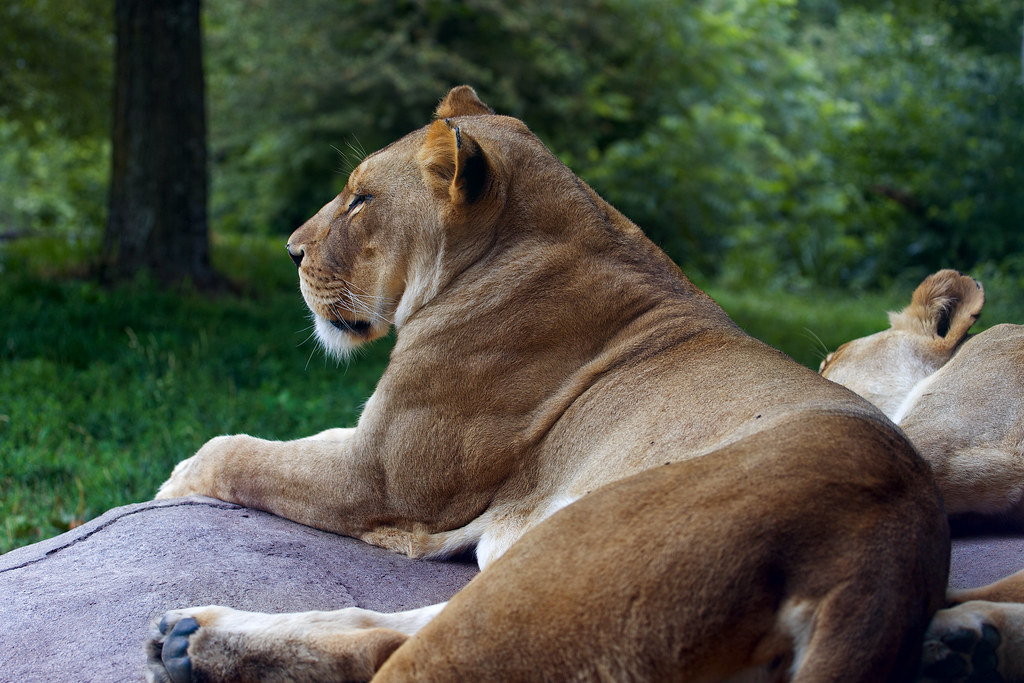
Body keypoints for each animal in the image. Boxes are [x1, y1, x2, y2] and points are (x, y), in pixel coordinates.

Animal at [147, 86, 955, 682]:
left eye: (359, 199)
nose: (290, 250)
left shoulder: (382, 479)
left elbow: (242, 451)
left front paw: (174, 479)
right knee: (389, 632)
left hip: (560, 556)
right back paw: (189, 635)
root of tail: (882, 549)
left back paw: (195, 641)